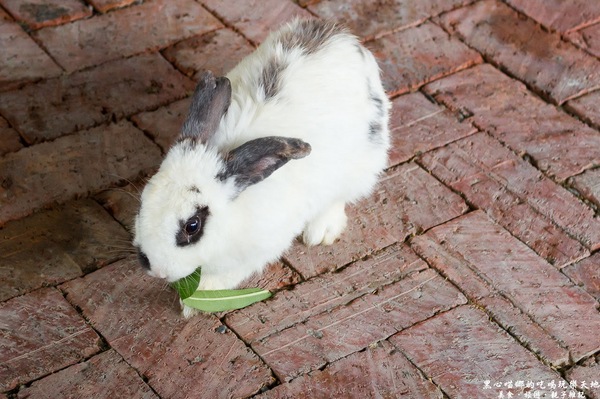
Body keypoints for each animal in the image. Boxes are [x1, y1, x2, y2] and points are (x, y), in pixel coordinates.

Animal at [132, 18, 390, 318]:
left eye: (192, 226)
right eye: (142, 201)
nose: (154, 268)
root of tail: (343, 38)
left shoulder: (262, 247)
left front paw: (196, 300)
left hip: (363, 164)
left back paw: (321, 232)